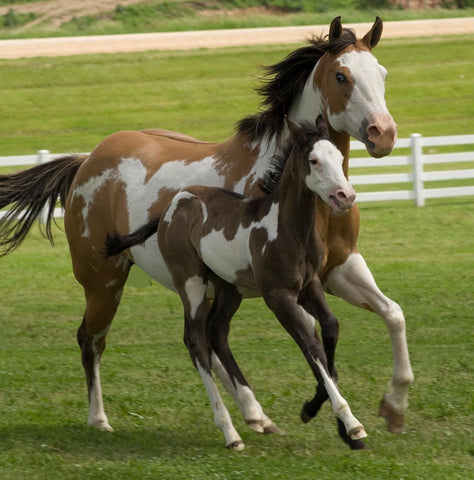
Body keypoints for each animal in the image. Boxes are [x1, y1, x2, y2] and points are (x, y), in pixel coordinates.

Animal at [105, 120, 362, 450]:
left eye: (339, 157)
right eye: (314, 160)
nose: (345, 196)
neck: (287, 228)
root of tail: (171, 207)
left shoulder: (309, 286)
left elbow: (330, 328)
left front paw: (312, 409)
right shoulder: (278, 296)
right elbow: (310, 344)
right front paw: (351, 424)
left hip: (229, 289)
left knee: (217, 332)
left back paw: (253, 415)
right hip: (192, 283)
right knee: (197, 341)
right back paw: (230, 433)